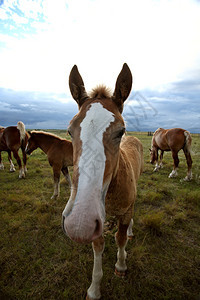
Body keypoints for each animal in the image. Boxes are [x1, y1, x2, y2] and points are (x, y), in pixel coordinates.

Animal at [61, 63, 143, 300]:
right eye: (70, 130)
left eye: (120, 131)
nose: (79, 224)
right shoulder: (97, 223)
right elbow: (98, 247)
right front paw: (94, 288)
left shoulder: (124, 212)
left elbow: (120, 238)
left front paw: (121, 266)